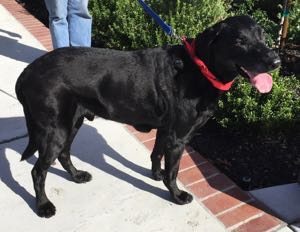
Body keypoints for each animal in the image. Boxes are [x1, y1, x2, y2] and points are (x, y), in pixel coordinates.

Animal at [14, 15, 282, 217]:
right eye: (239, 41)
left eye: (263, 37)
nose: (276, 60)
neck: (199, 68)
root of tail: (27, 72)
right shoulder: (179, 138)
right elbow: (173, 172)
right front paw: (176, 195)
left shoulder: (165, 130)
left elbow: (156, 154)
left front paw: (155, 175)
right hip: (56, 129)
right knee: (38, 171)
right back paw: (43, 206)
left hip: (73, 122)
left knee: (63, 154)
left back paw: (77, 176)